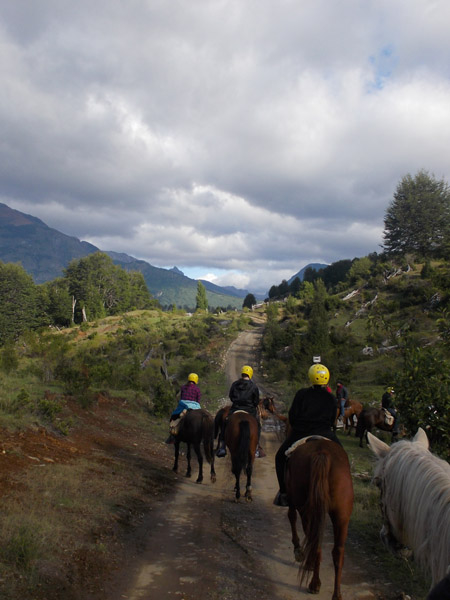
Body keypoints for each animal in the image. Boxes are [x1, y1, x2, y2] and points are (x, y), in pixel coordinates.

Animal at [284, 436, 356, 600]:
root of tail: (323, 453)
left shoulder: (293, 499)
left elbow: (291, 516)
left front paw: (299, 552)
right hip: (342, 515)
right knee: (337, 551)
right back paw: (336, 594)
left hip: (307, 509)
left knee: (315, 543)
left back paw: (314, 583)